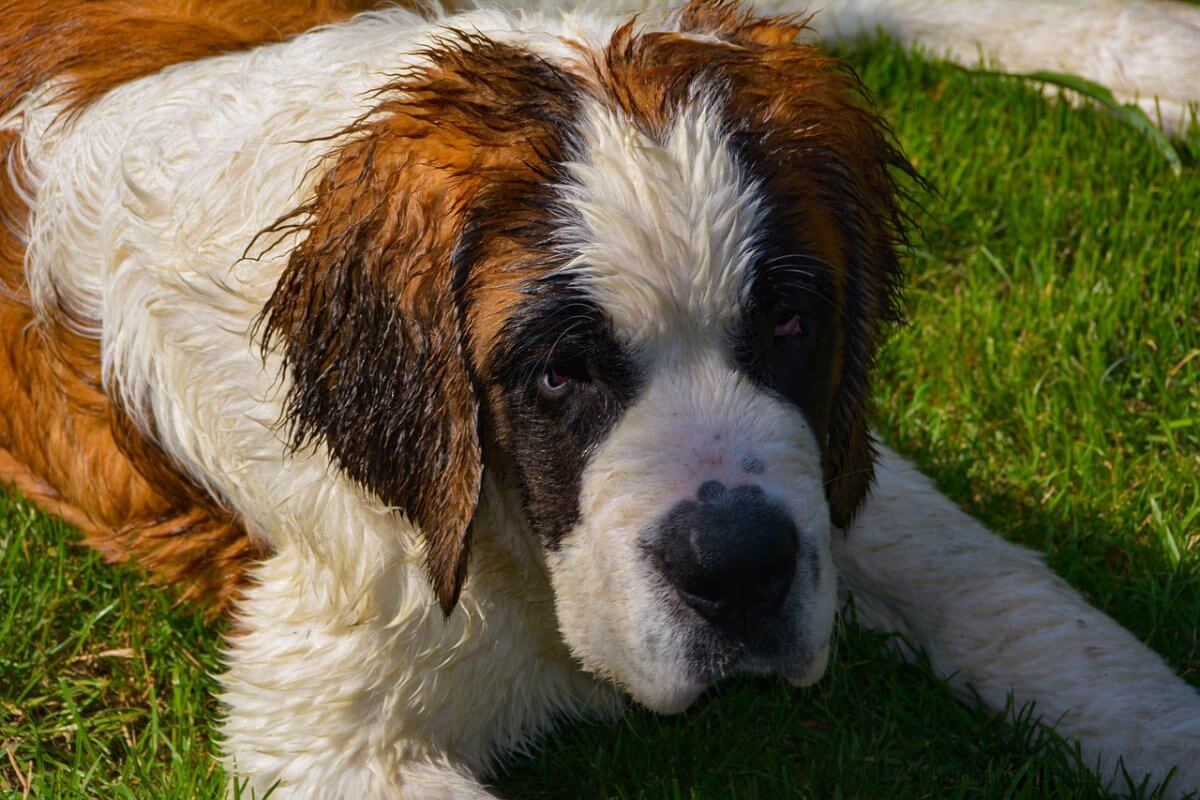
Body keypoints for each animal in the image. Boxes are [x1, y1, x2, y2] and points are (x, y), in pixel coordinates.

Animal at [2, 0, 1200, 796]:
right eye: (558, 371)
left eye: (790, 323)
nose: (738, 569)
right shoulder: (323, 721)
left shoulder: (828, 461)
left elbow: (1008, 597)